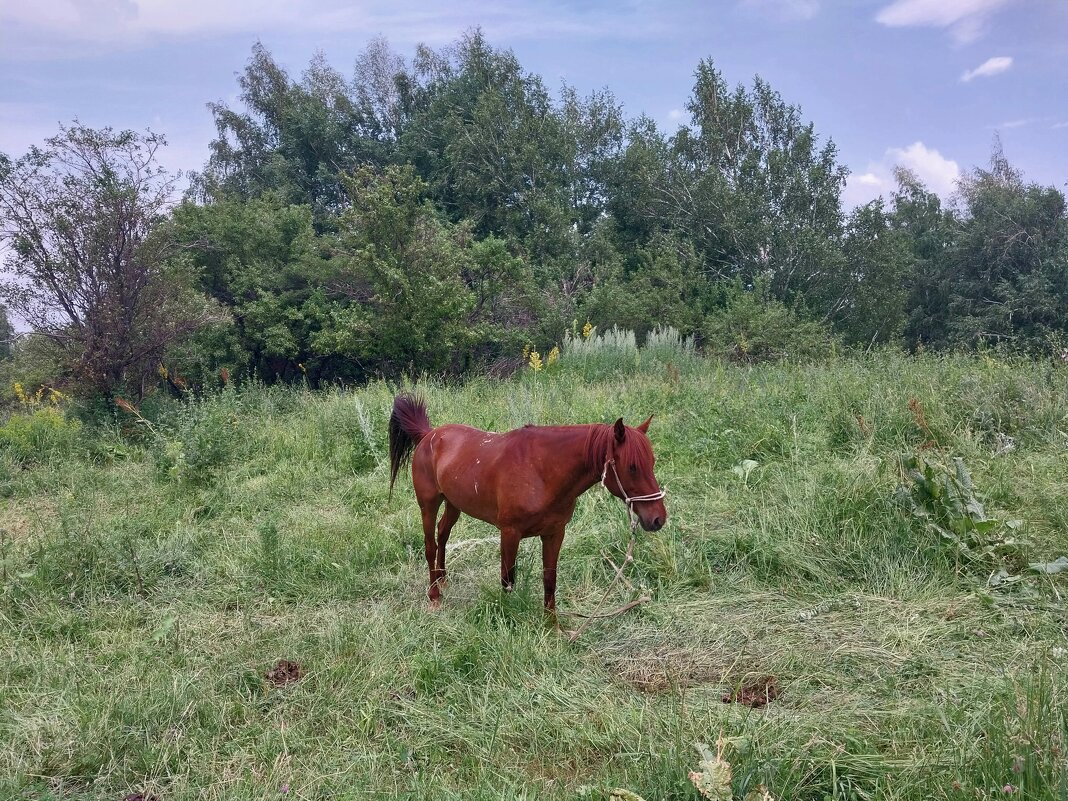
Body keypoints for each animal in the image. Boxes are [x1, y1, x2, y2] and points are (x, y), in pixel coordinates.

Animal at [384, 395, 666, 615]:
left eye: (652, 462)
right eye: (632, 466)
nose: (658, 518)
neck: (541, 471)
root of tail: (429, 435)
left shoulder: (554, 533)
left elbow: (550, 579)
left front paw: (552, 625)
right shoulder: (510, 533)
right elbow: (508, 579)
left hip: (454, 504)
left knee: (443, 534)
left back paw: (443, 580)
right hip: (428, 504)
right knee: (430, 545)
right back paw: (434, 595)